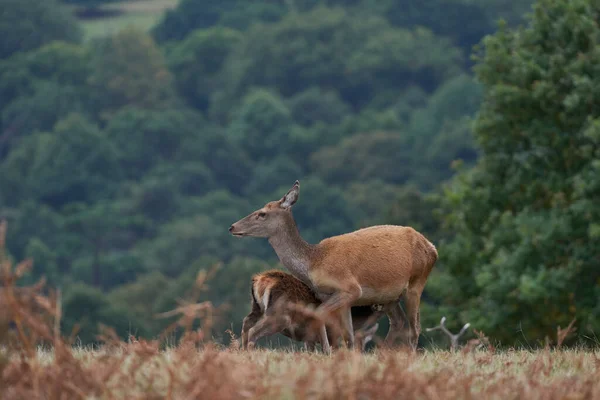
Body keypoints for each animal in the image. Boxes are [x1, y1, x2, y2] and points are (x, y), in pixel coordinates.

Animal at [241, 268, 382, 354]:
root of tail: (261, 279)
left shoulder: (309, 339)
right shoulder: (332, 333)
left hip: (256, 307)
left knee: (246, 322)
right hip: (280, 316)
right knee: (253, 330)